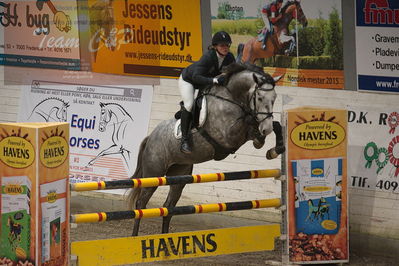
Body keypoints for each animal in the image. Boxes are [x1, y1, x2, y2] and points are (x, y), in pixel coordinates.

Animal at [126, 63, 286, 236]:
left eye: (274, 98)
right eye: (260, 98)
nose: (266, 129)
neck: (232, 98)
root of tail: (150, 137)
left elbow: (275, 125)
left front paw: (274, 149)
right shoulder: (228, 135)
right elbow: (249, 122)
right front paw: (262, 139)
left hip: (179, 175)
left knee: (169, 207)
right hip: (154, 174)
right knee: (141, 204)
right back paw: (134, 237)